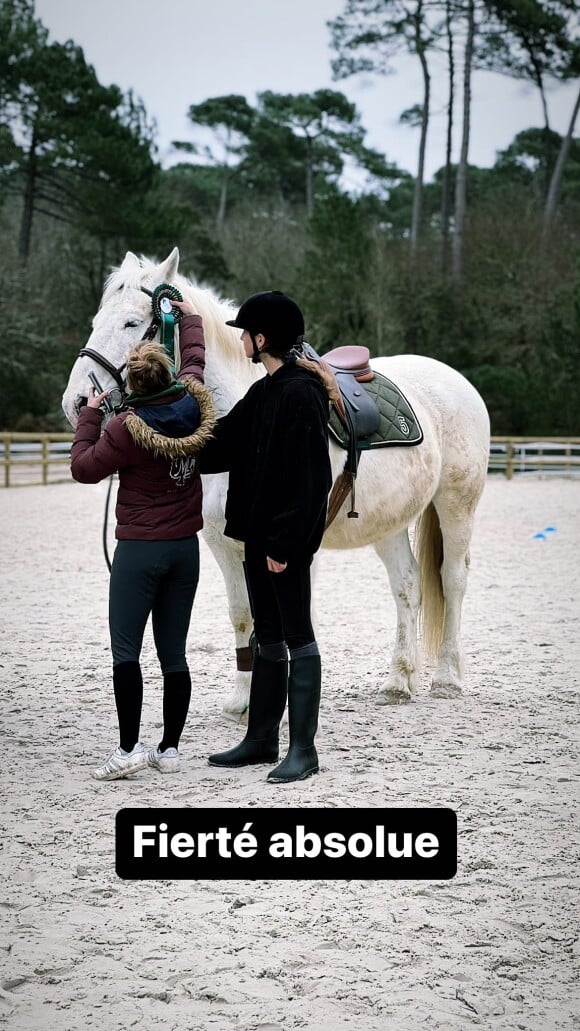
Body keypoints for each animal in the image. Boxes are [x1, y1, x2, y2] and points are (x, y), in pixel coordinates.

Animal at [62, 249, 490, 717]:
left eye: (132, 323)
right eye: (97, 320)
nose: (78, 402)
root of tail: (454, 379)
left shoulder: (290, 547)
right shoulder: (224, 543)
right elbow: (243, 615)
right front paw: (243, 701)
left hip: (457, 505)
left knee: (452, 579)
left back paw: (447, 677)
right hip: (388, 522)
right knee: (408, 587)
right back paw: (399, 680)